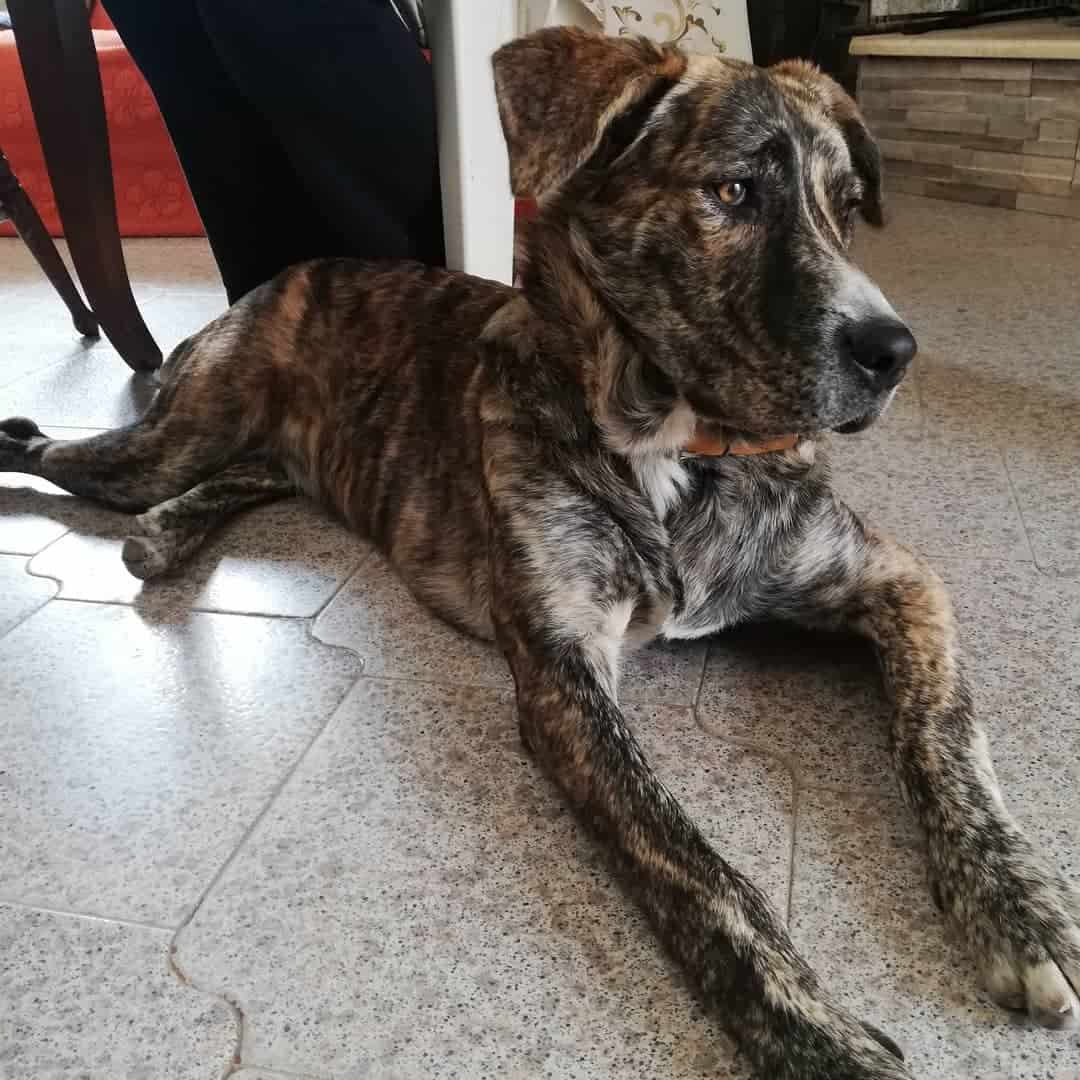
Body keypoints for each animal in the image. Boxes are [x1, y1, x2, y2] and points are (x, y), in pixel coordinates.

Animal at [2, 27, 1080, 1080]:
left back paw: (162, 537)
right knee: (70, 453)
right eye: (734, 192)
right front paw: (814, 1033)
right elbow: (694, 862)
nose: (894, 352)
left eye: (848, 208)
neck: (682, 451)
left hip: (280, 451)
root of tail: (284, 274)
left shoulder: (896, 580)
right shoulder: (567, 675)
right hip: (176, 434)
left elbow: (944, 735)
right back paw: (44, 455)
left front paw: (1017, 910)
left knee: (251, 474)